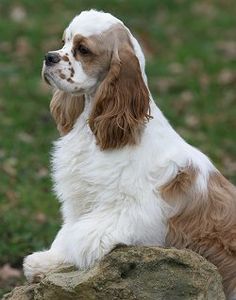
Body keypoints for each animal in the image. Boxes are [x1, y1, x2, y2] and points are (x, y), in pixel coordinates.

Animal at [23, 9, 236, 300]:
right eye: (64, 41)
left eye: (83, 50)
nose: (49, 57)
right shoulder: (81, 200)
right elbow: (66, 232)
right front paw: (46, 262)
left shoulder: (129, 211)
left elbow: (79, 236)